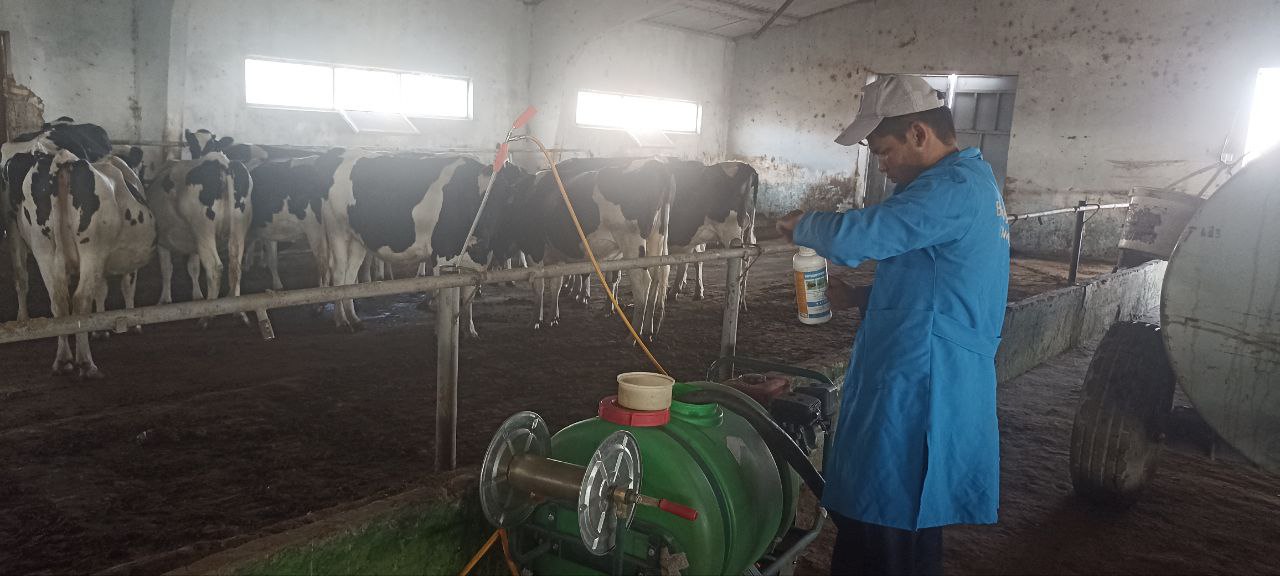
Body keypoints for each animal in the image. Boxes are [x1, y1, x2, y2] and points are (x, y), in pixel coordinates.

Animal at [1, 126, 156, 378]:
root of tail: (63, 161)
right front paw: (131, 324)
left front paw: (101, 329)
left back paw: (58, 354)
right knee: (80, 301)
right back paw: (86, 362)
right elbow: (125, 286)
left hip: (37, 244)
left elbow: (100, 289)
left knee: (51, 296)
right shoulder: (120, 262)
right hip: (90, 250)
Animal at [147, 129, 253, 326]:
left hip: (203, 229)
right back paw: (237, 310)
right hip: (238, 228)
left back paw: (207, 315)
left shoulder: (161, 242)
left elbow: (166, 269)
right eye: (194, 146)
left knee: (215, 267)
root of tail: (221, 162)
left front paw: (164, 300)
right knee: (235, 265)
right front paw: (197, 296)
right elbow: (193, 268)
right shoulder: (193, 244)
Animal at [320, 151, 530, 335]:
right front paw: (441, 329)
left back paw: (354, 318)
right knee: (339, 275)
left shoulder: (476, 260)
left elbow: (467, 300)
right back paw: (342, 321)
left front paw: (469, 331)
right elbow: (441, 293)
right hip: (337, 230)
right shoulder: (443, 256)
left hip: (357, 239)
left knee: (349, 275)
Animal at [493, 158, 673, 338]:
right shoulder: (556, 256)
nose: (496, 259)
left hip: (631, 244)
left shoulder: (534, 250)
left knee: (642, 282)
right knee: (656, 278)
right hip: (655, 241)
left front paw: (535, 320)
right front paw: (552, 317)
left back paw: (634, 334)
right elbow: (556, 284)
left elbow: (539, 287)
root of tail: (654, 164)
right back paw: (648, 329)